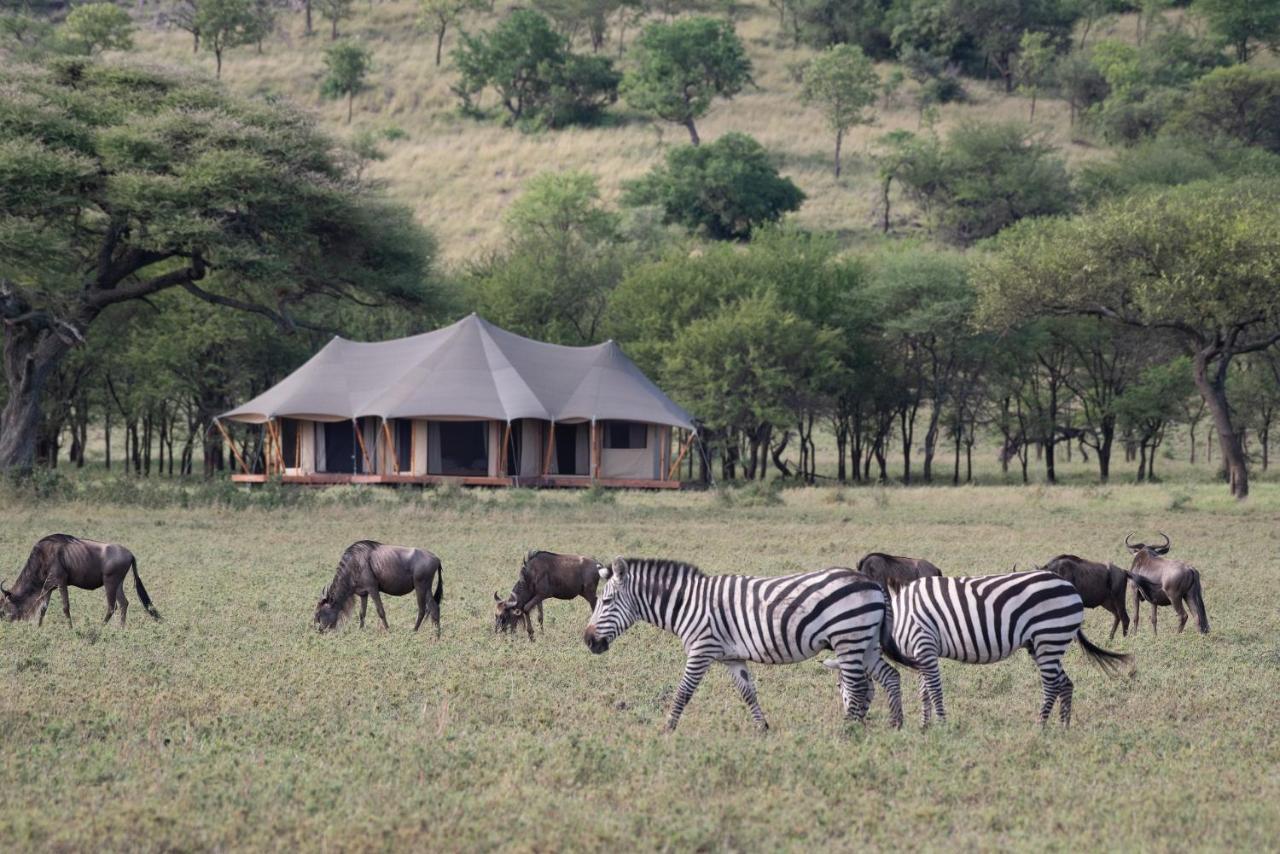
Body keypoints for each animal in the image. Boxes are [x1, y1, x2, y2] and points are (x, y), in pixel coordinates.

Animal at [581, 558, 921, 732]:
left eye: (606, 602)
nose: (588, 640)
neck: (688, 603)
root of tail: (872, 583)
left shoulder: (701, 649)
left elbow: (684, 691)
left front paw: (667, 728)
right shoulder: (731, 657)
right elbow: (747, 693)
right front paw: (762, 728)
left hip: (848, 638)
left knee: (859, 686)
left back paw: (848, 731)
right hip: (866, 641)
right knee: (891, 677)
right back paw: (895, 724)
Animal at [839, 571, 1131, 727]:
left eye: (841, 689)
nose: (851, 726)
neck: (894, 619)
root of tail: (1068, 585)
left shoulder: (924, 643)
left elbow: (934, 689)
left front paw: (941, 726)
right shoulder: (922, 652)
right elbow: (924, 692)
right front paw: (924, 727)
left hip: (1049, 637)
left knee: (1051, 685)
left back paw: (1040, 726)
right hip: (1044, 643)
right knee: (1065, 683)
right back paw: (1062, 726)